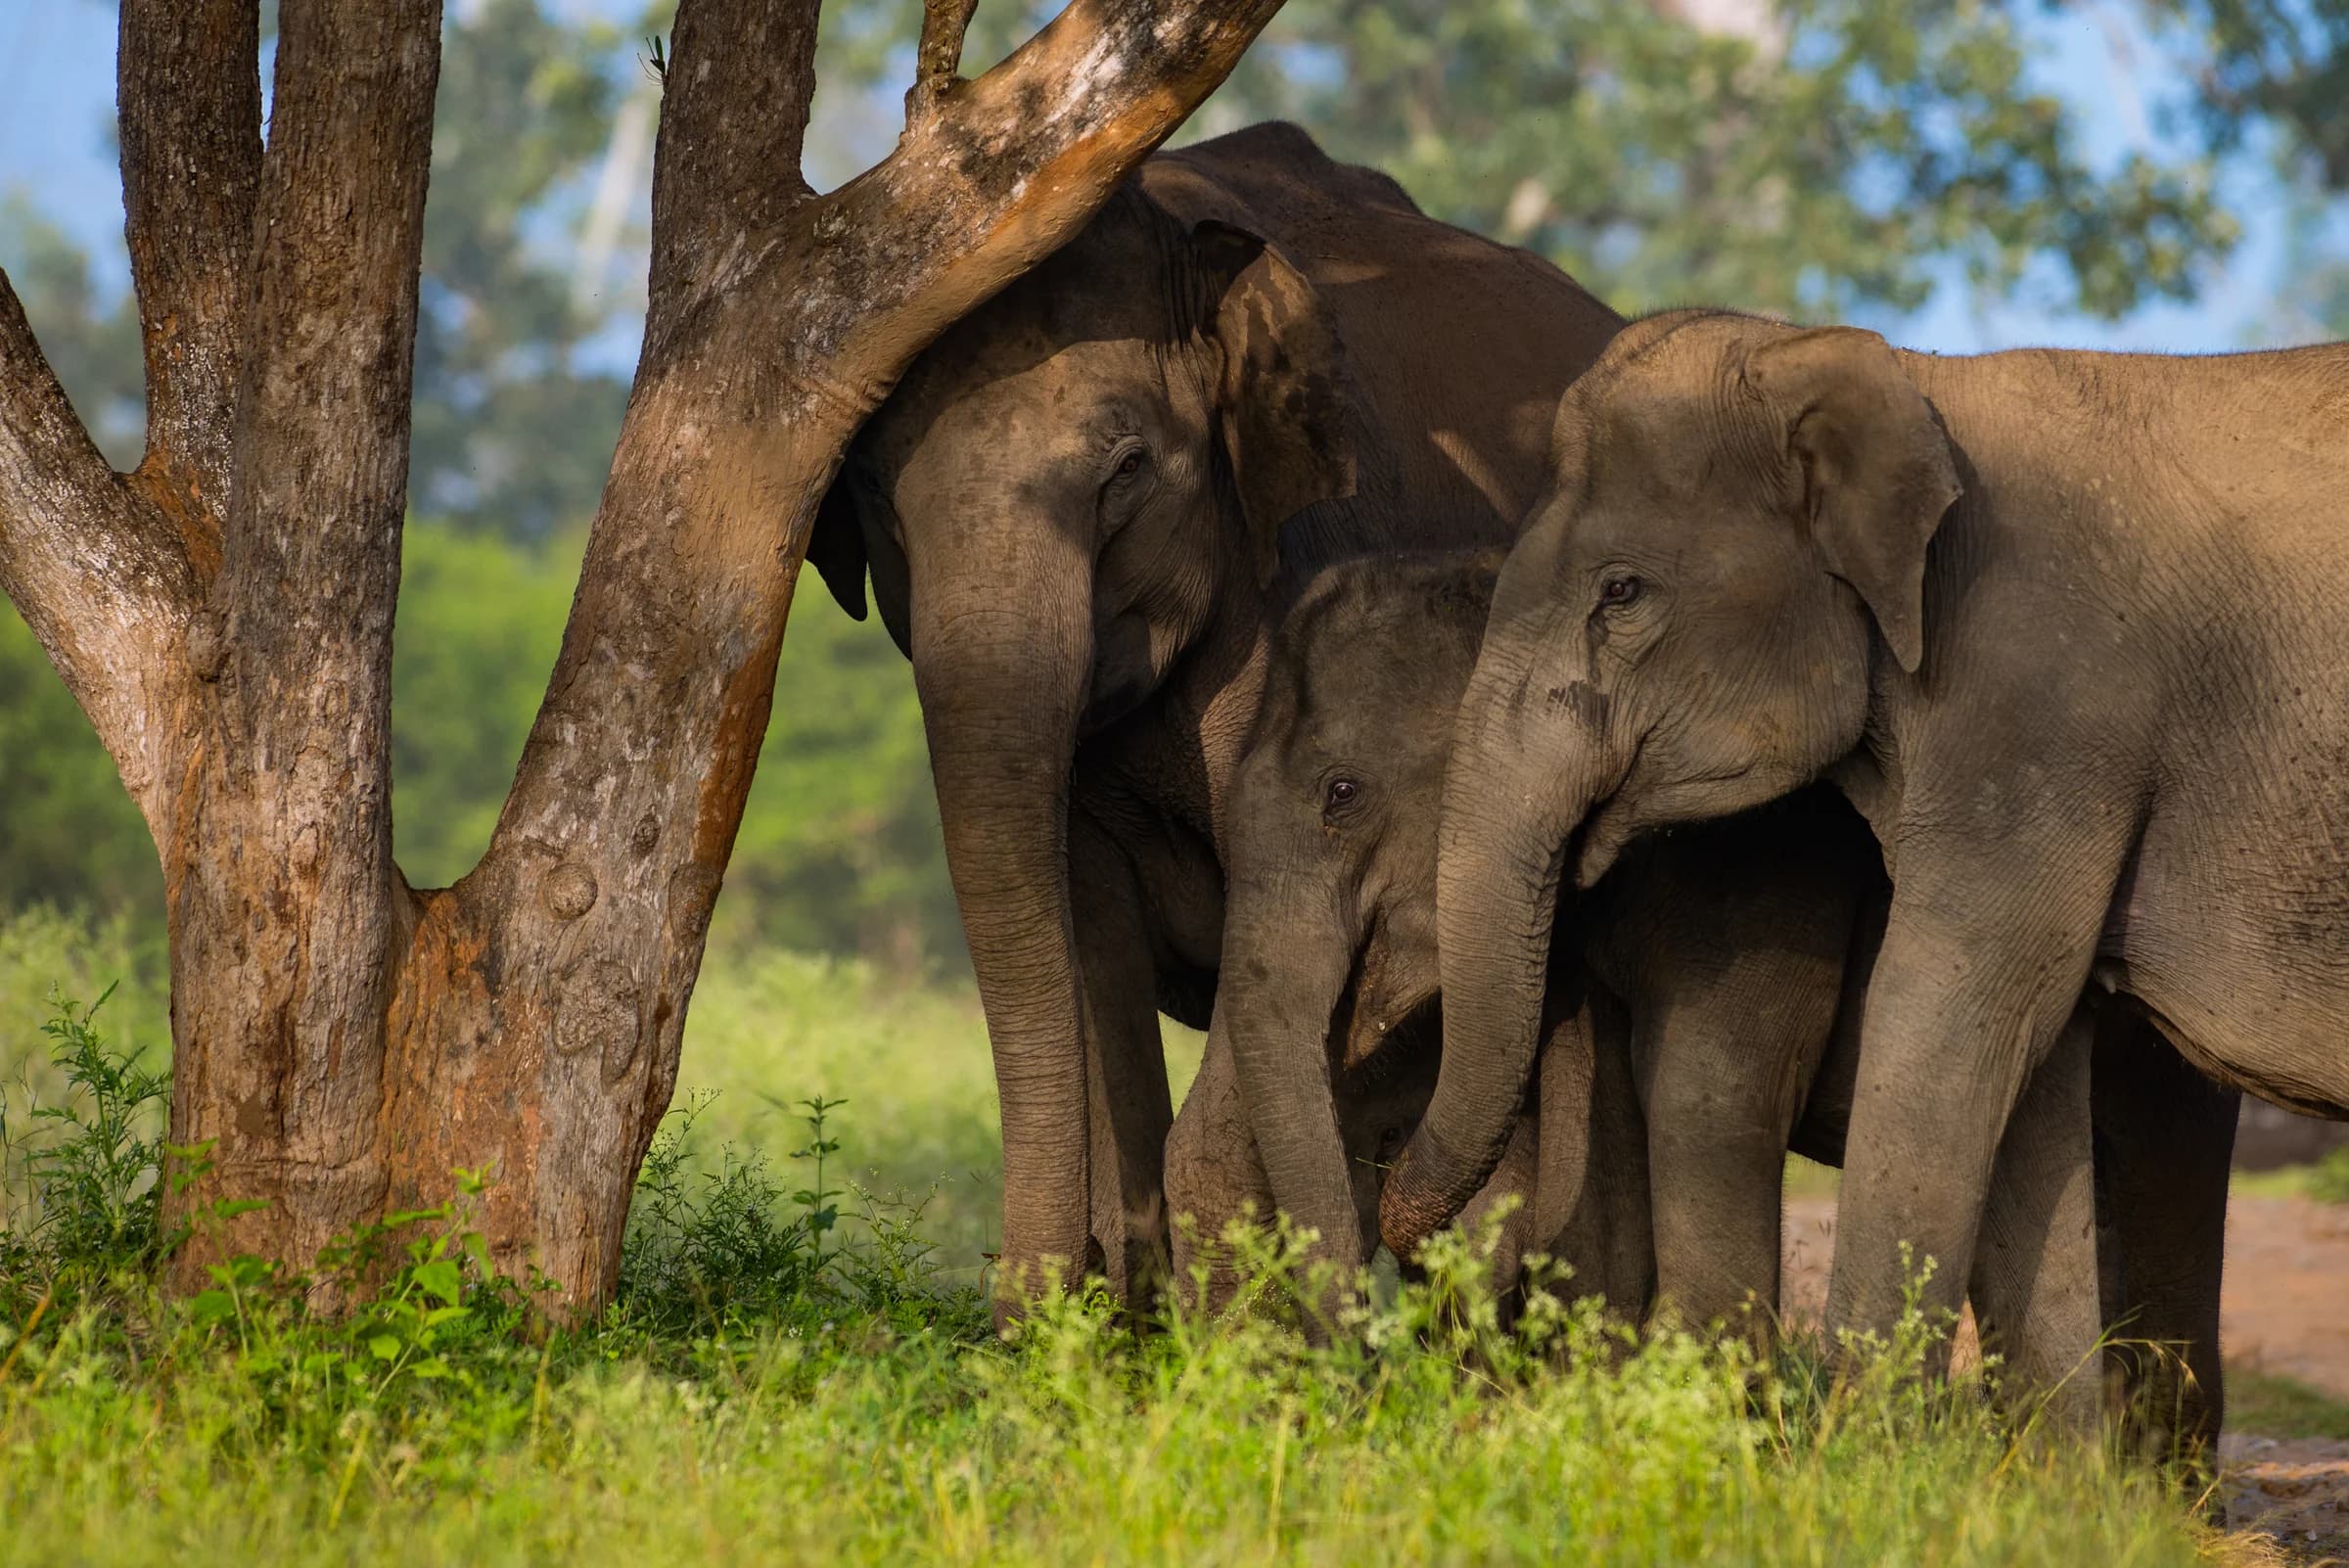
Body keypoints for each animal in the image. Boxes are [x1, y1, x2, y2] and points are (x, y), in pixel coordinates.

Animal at [1386, 309, 2338, 1419]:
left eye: (1621, 592)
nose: (1401, 1228)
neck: (1902, 376)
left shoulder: (2035, 722)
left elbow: (1946, 1019)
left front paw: (1857, 1444)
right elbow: (2033, 1063)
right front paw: (2046, 1468)